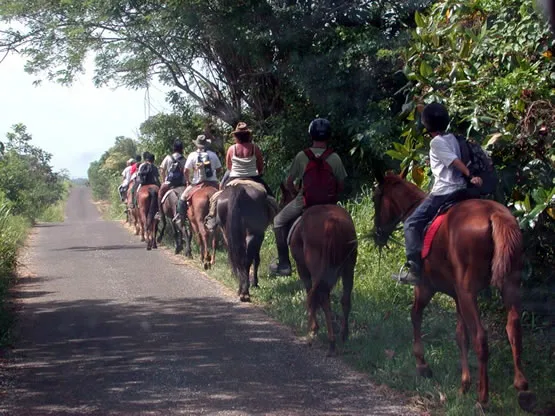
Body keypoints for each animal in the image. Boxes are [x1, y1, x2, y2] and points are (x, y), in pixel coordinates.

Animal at [280, 184, 358, 356]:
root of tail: (332, 224)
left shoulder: (302, 268)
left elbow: (309, 292)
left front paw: (314, 327)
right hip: (348, 267)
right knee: (344, 299)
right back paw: (343, 334)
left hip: (317, 269)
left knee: (322, 297)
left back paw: (330, 341)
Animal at [372, 171, 536, 410]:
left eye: (376, 198)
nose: (377, 234)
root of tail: (494, 215)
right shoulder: (458, 297)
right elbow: (460, 336)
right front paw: (464, 385)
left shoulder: (426, 287)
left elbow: (416, 315)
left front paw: (422, 365)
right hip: (509, 284)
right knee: (513, 328)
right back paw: (522, 388)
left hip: (468, 293)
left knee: (480, 337)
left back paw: (483, 398)